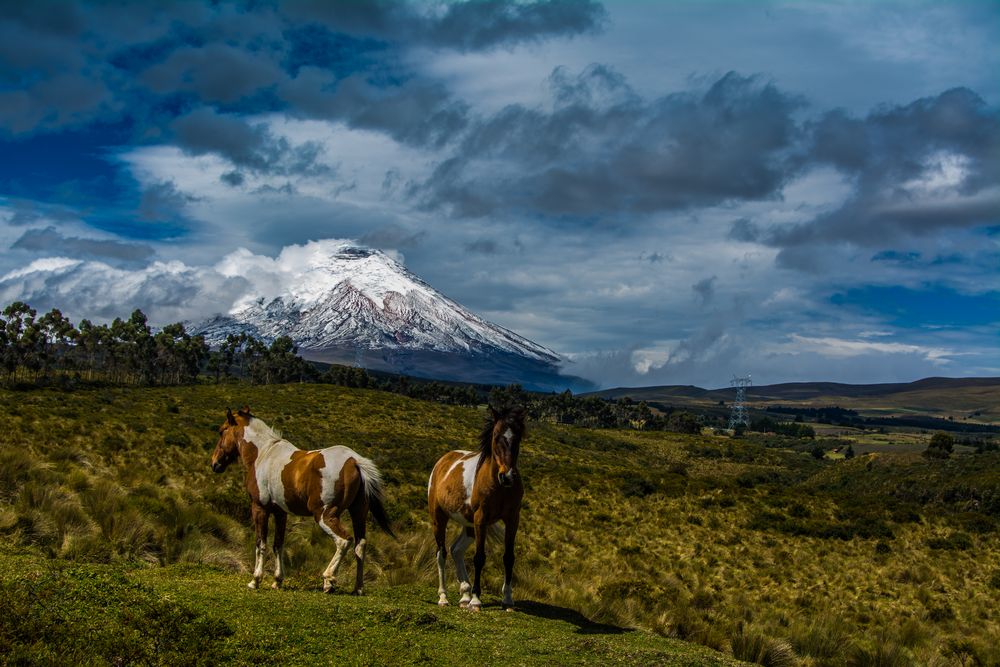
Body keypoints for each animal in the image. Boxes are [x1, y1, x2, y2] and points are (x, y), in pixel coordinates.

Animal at [209, 408, 392, 596]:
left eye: (222, 431)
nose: (214, 463)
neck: (263, 454)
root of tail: (354, 461)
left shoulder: (259, 508)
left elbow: (261, 543)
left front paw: (255, 580)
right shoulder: (280, 513)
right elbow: (278, 545)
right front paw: (277, 581)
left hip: (324, 515)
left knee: (343, 541)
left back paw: (328, 580)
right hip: (358, 514)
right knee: (360, 545)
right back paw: (358, 588)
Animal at [428, 404, 528, 612]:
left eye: (518, 437)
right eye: (496, 435)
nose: (507, 476)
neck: (498, 486)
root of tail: (443, 461)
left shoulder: (512, 519)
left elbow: (509, 557)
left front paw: (507, 600)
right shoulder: (481, 519)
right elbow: (479, 557)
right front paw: (476, 600)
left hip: (468, 525)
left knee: (456, 550)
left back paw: (464, 594)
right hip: (439, 518)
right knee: (441, 553)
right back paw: (444, 597)